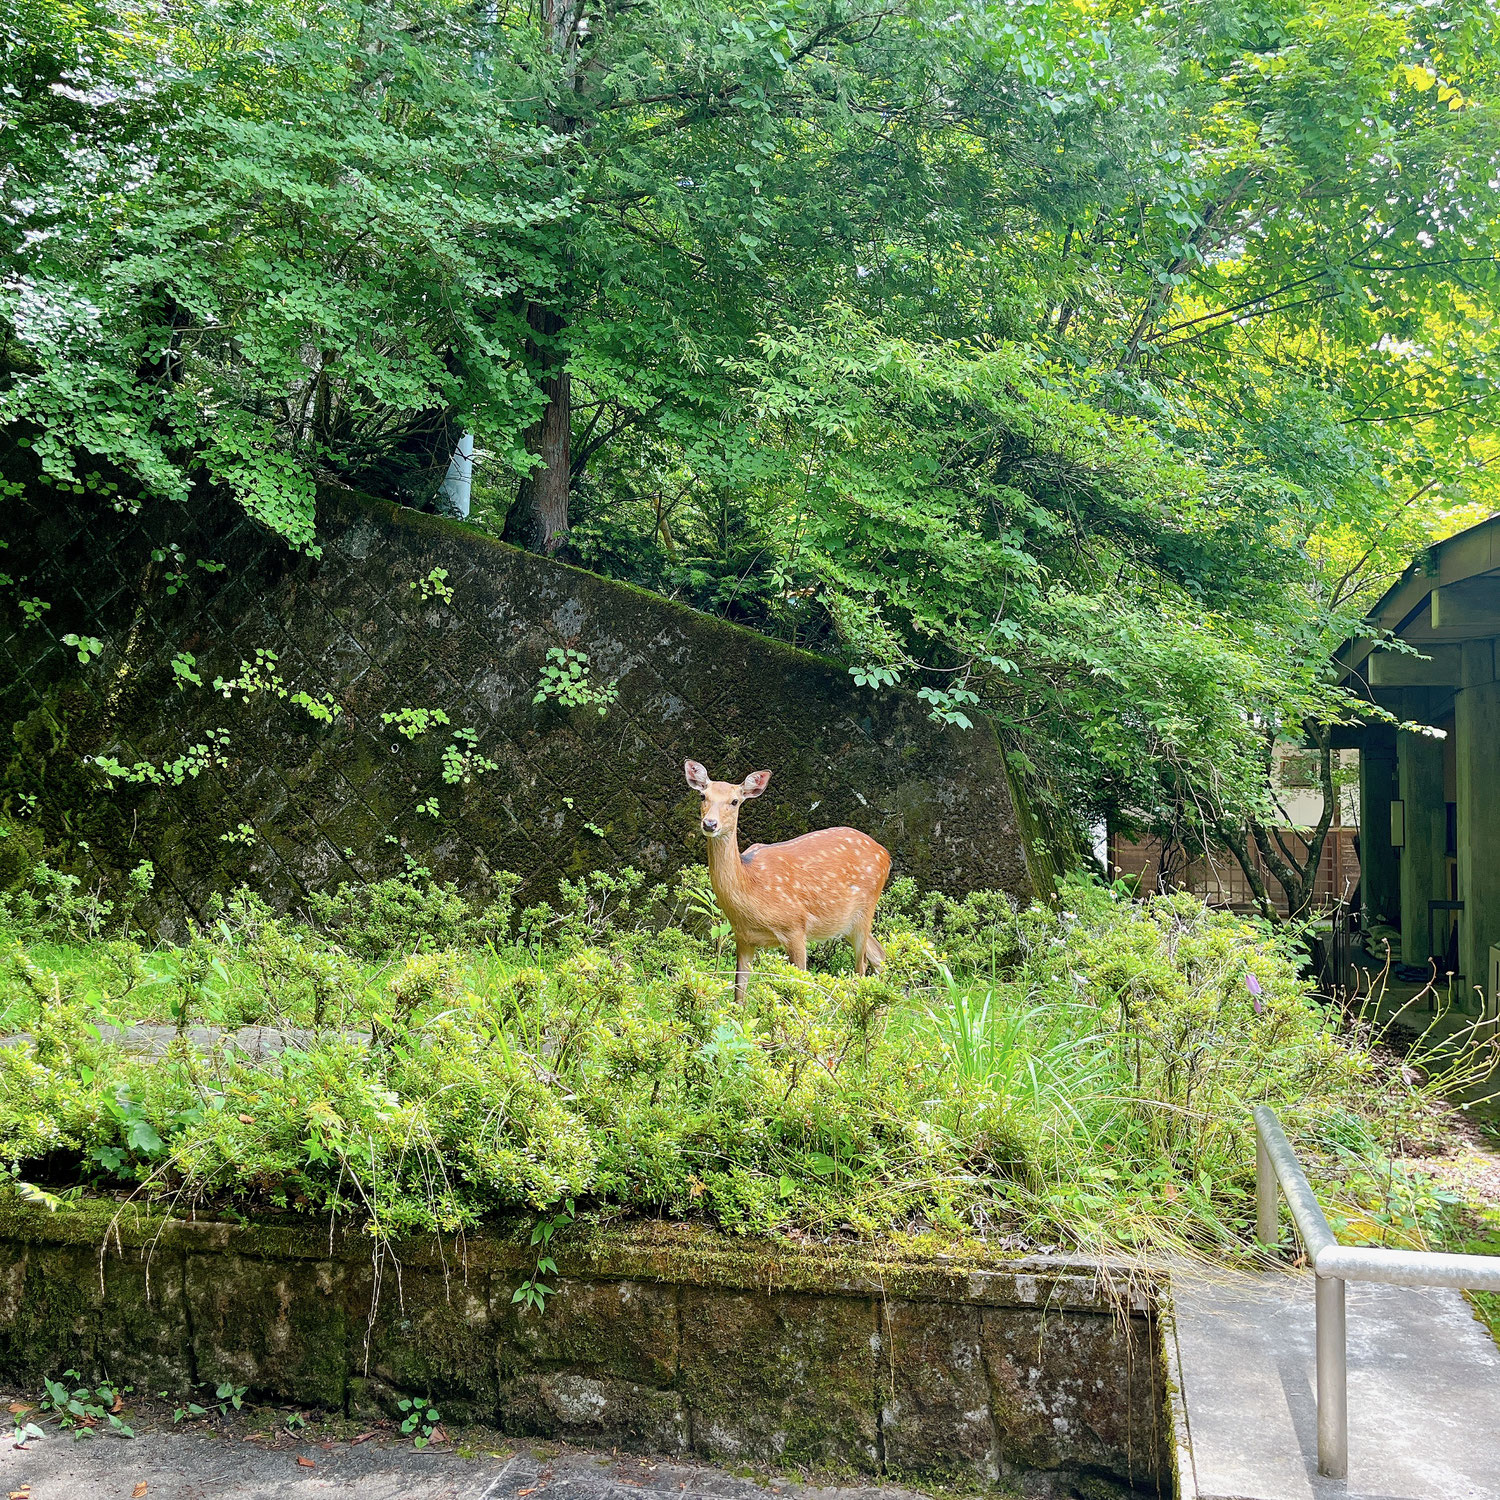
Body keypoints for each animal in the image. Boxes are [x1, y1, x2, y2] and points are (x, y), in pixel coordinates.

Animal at [687, 768, 894, 1002]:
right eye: (702, 796)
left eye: (734, 801)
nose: (710, 824)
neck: (751, 884)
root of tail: (886, 855)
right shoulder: (743, 937)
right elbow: (739, 995)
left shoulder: (795, 927)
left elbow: (800, 986)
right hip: (847, 922)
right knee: (880, 955)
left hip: (866, 908)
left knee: (862, 968)